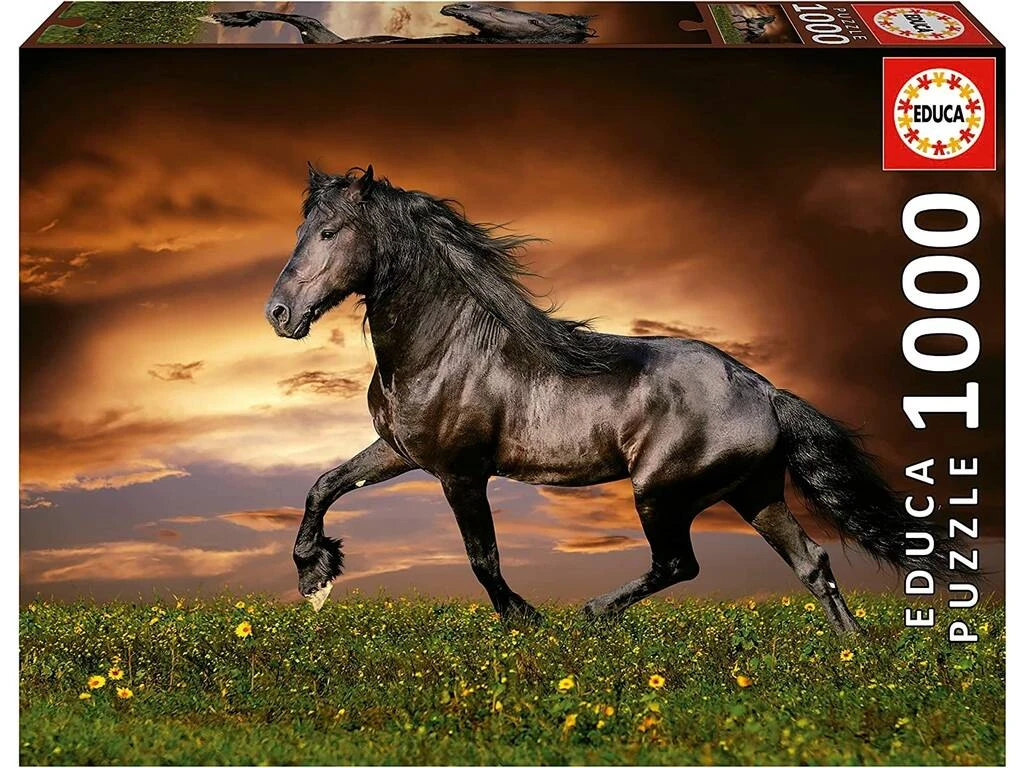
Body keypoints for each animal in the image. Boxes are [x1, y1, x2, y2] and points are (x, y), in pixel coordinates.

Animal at [265, 165, 948, 633]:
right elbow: (323, 486)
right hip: (753, 492)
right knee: (811, 563)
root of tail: (764, 390)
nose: (279, 314)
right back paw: (853, 654)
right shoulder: (400, 451)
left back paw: (592, 613)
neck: (444, 347)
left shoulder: (460, 472)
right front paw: (315, 574)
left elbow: (482, 557)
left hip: (661, 493)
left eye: (328, 231)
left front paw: (526, 619)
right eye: (300, 229)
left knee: (679, 565)